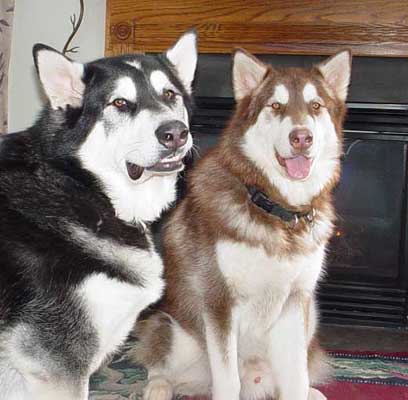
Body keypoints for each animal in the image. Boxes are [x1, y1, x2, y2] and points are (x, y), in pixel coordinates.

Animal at [130, 47, 350, 400]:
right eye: (276, 106)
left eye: (316, 106)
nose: (301, 137)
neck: (276, 208)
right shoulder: (218, 301)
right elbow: (227, 379)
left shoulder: (295, 300)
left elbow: (296, 376)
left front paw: (302, 390)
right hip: (174, 330)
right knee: (159, 364)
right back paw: (158, 387)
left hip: (311, 313)